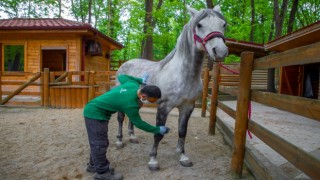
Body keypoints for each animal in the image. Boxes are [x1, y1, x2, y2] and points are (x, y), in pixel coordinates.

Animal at [115, 5, 228, 170]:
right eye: (199, 25)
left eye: (223, 24)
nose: (220, 51)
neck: (182, 75)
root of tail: (124, 65)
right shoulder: (164, 107)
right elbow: (158, 134)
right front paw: (153, 160)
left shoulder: (188, 107)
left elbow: (182, 132)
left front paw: (183, 157)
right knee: (120, 118)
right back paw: (119, 141)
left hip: (138, 100)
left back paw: (132, 137)